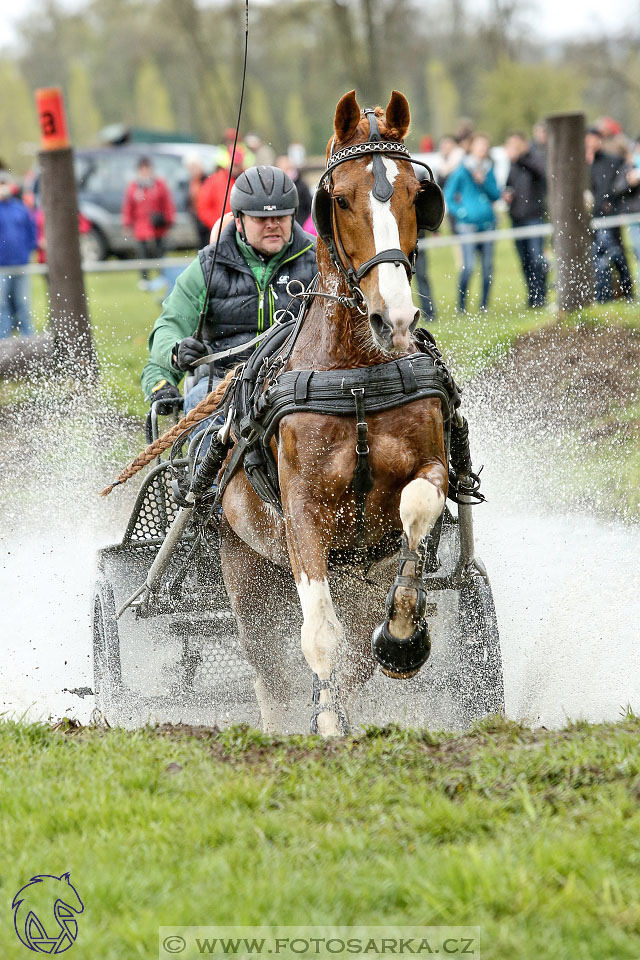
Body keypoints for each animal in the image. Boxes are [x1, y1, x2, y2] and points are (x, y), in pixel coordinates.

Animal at [216, 92, 450, 736]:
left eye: (415, 194)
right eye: (340, 199)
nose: (394, 318)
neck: (356, 378)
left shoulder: (432, 467)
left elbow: (417, 507)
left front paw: (403, 634)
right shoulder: (301, 510)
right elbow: (319, 633)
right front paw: (325, 727)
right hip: (247, 574)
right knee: (269, 671)